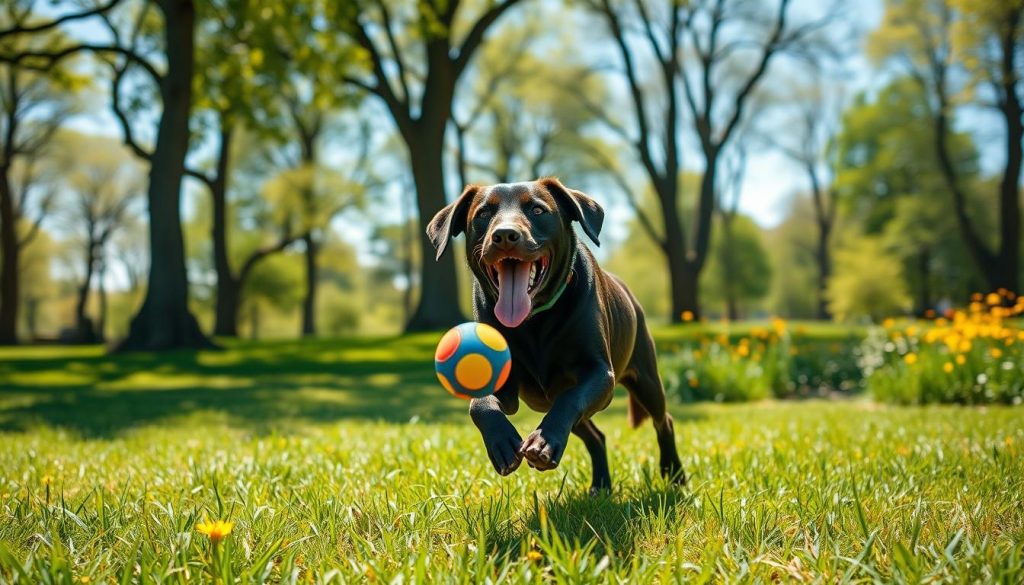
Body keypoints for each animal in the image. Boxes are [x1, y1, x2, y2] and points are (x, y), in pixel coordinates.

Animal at [428, 176, 684, 491]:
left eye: (538, 210)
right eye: (483, 214)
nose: (505, 235)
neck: (535, 320)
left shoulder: (600, 374)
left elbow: (569, 399)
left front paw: (543, 442)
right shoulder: (505, 383)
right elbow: (480, 403)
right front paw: (502, 442)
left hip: (647, 379)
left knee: (664, 420)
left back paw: (674, 474)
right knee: (596, 436)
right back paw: (601, 485)